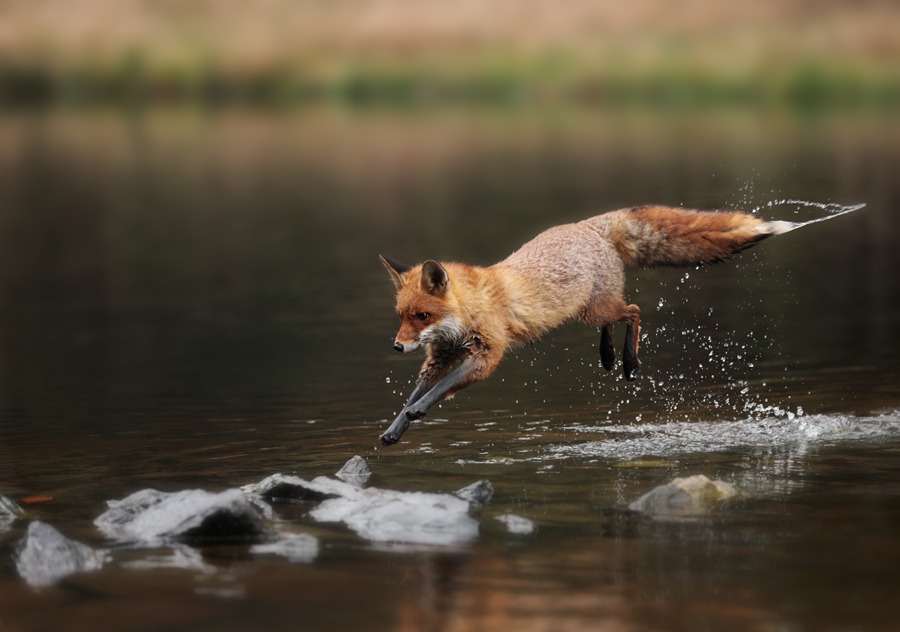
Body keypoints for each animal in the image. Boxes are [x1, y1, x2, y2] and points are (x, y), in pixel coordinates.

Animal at [378, 205, 795, 446]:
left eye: (422, 316)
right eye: (401, 317)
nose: (397, 347)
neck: (469, 311)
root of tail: (586, 225)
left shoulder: (486, 355)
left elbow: (437, 392)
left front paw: (418, 413)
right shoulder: (440, 356)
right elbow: (413, 396)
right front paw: (394, 430)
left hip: (597, 308)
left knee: (634, 311)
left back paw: (628, 362)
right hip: (589, 311)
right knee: (616, 320)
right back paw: (608, 356)